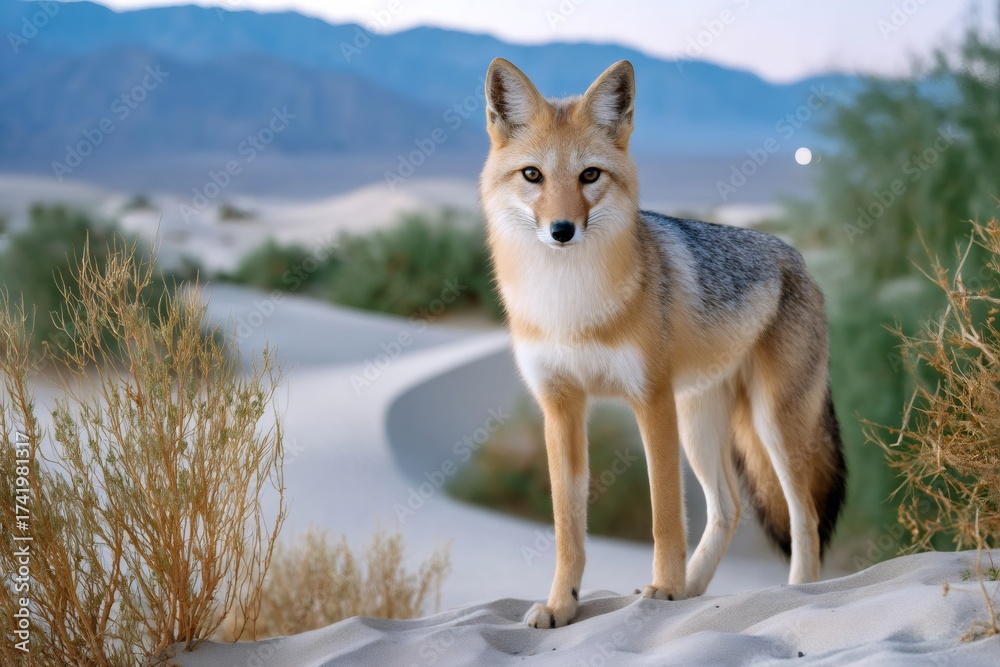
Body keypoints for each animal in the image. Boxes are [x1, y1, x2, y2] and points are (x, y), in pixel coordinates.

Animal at [479, 58, 847, 629]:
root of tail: (797, 258)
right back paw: (696, 592)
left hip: (772, 426)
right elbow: (568, 529)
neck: (571, 308)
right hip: (699, 423)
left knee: (803, 516)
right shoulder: (560, 407)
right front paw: (563, 605)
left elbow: (665, 514)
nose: (562, 230)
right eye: (533, 175)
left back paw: (790, 595)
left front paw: (665, 589)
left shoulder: (650, 400)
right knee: (728, 508)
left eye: (589, 175)